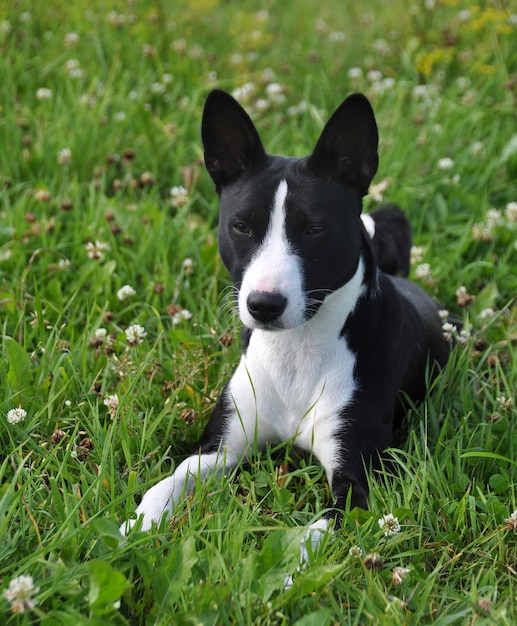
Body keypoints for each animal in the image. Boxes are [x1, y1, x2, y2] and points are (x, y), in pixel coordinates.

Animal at [120, 89, 448, 536]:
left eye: (314, 229)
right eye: (241, 226)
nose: (264, 305)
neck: (297, 350)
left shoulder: (356, 479)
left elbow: (316, 533)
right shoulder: (218, 449)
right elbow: (167, 483)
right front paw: (133, 530)